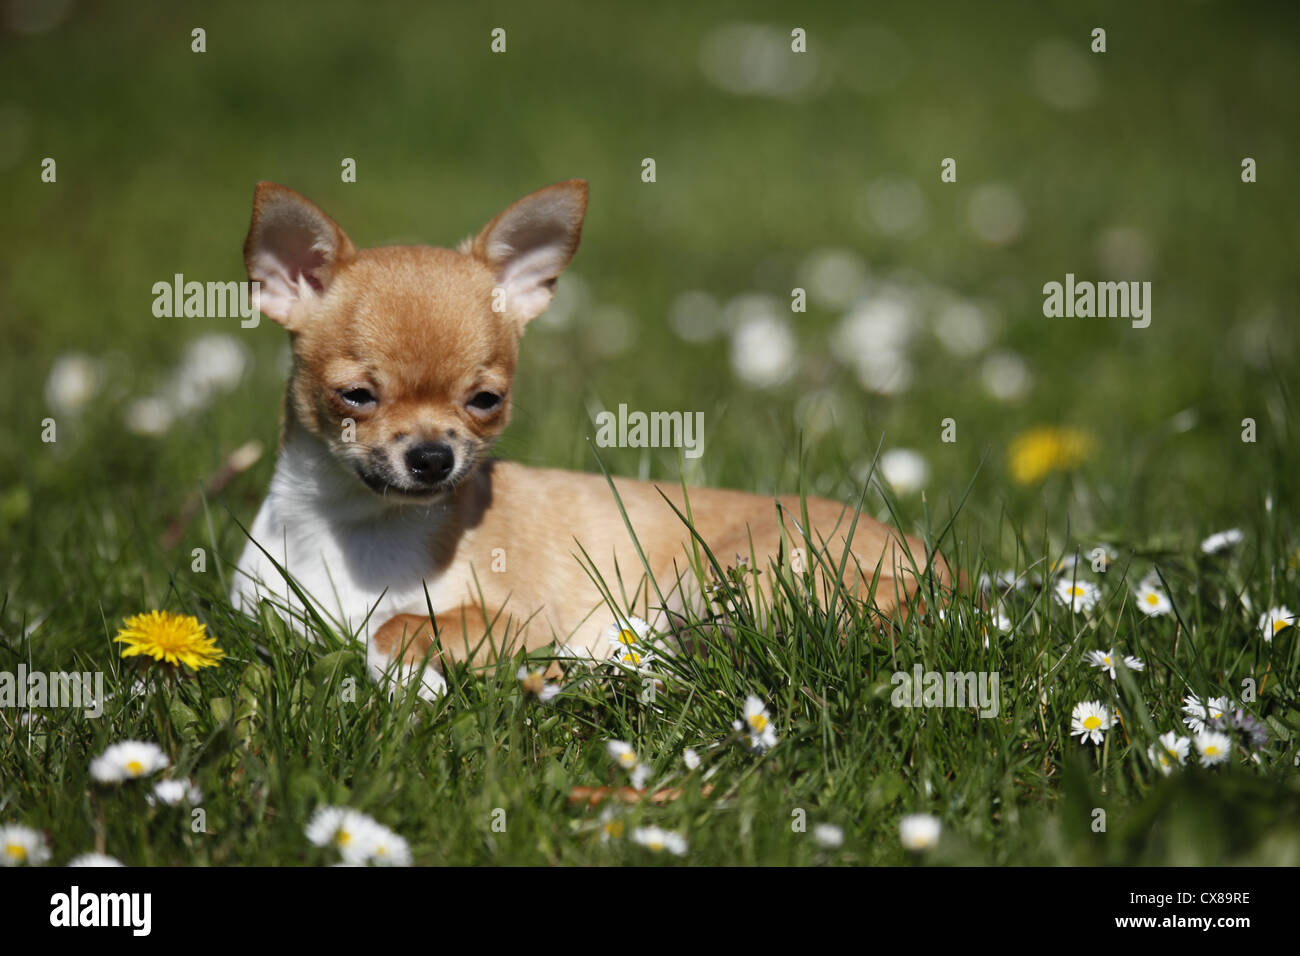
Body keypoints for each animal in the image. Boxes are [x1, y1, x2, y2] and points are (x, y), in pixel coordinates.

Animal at [233, 180, 946, 702]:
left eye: (486, 401)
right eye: (356, 396)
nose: (434, 458)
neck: (353, 523)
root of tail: (948, 575)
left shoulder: (512, 622)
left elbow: (391, 623)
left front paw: (412, 685)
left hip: (726, 575)